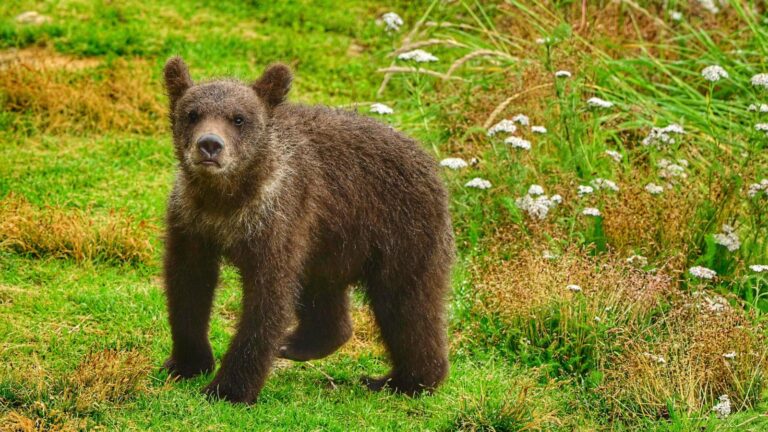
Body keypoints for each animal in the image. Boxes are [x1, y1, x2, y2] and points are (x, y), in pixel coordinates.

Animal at [161, 56, 454, 404]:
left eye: (238, 118)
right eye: (192, 113)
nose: (209, 145)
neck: (226, 200)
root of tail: (431, 163)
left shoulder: (277, 221)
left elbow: (267, 301)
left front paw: (228, 388)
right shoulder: (191, 223)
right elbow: (187, 287)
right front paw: (186, 363)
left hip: (401, 232)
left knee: (407, 305)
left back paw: (403, 380)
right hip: (331, 241)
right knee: (324, 291)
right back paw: (299, 344)